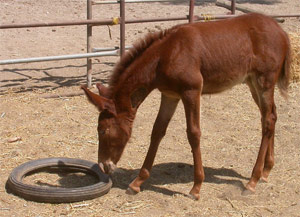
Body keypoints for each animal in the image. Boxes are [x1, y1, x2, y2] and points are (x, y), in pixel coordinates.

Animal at [82, 13, 290, 200]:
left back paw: (252, 181)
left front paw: (196, 187)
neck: (165, 55)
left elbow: (193, 133)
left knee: (268, 121)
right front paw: (137, 183)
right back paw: (266, 170)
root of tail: (280, 31)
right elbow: (157, 132)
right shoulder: (169, 95)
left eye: (102, 130)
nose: (104, 166)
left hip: (264, 82)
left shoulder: (191, 92)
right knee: (270, 116)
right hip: (252, 84)